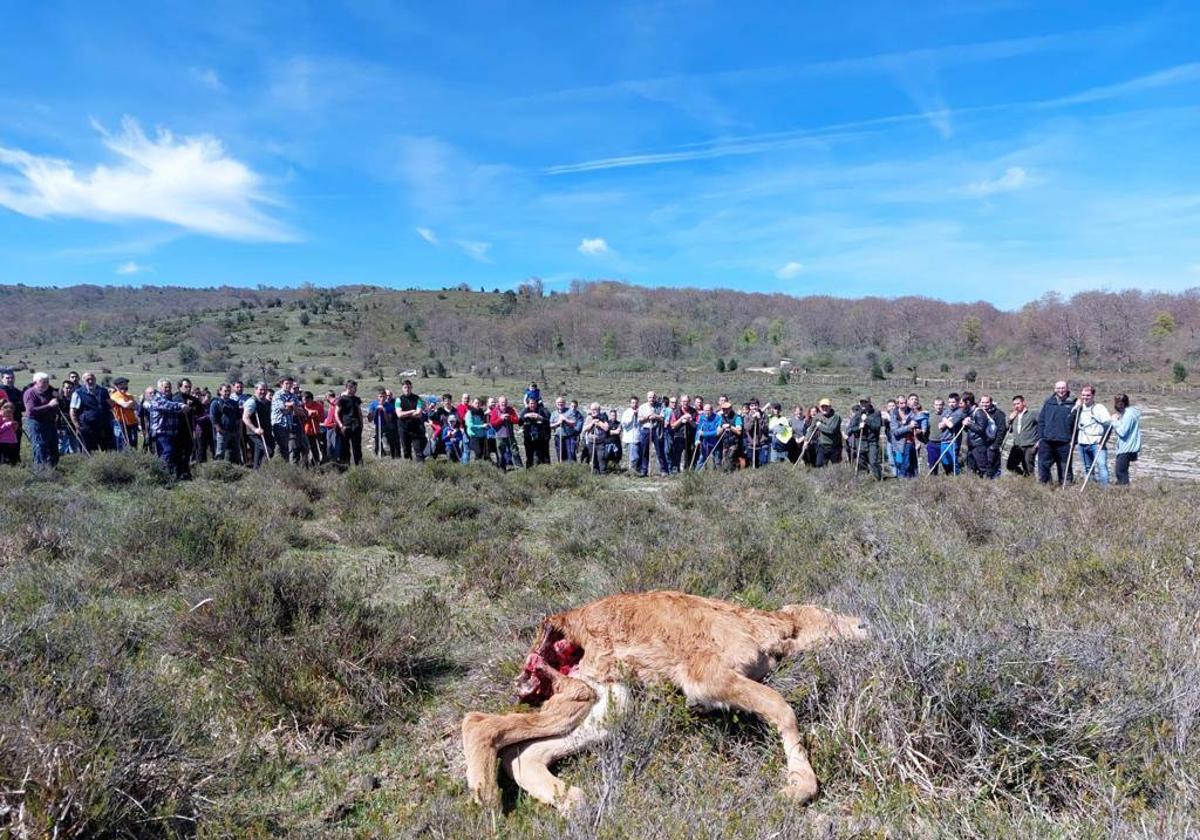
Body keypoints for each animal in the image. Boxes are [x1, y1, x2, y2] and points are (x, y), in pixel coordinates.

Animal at [460, 590, 873, 816]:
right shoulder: (705, 677)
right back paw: (489, 801)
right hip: (575, 692)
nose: (863, 622)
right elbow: (782, 707)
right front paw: (797, 787)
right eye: (829, 615)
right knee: (479, 722)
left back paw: (575, 801)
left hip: (607, 700)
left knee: (525, 753)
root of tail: (562, 621)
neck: (764, 629)